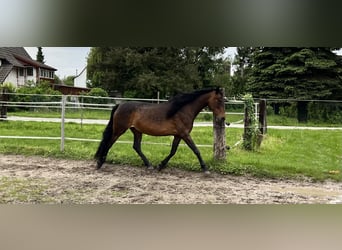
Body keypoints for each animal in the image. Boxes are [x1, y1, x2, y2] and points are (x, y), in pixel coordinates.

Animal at [95, 87, 226, 174]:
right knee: (109, 143)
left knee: (136, 146)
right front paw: (205, 168)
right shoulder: (185, 134)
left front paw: (160, 165)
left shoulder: (178, 135)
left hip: (136, 131)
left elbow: (173, 151)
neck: (182, 110)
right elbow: (196, 150)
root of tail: (119, 105)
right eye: (219, 100)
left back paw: (149, 165)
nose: (223, 118)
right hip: (119, 130)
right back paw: (99, 163)